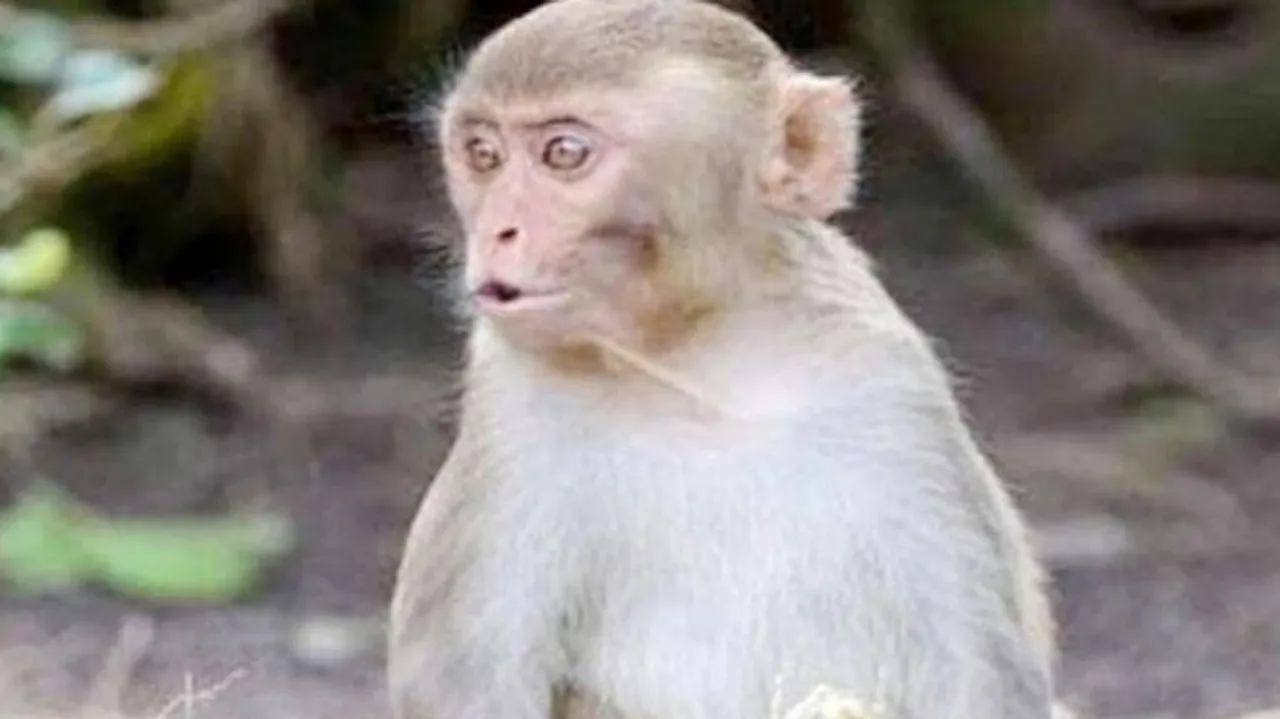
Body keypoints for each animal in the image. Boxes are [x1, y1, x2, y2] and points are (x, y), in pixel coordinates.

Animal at [387, 1, 1060, 717]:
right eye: (483, 155)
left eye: (563, 154)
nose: (497, 230)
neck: (704, 362)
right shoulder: (510, 413)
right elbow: (468, 686)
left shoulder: (888, 386)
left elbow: (979, 671)